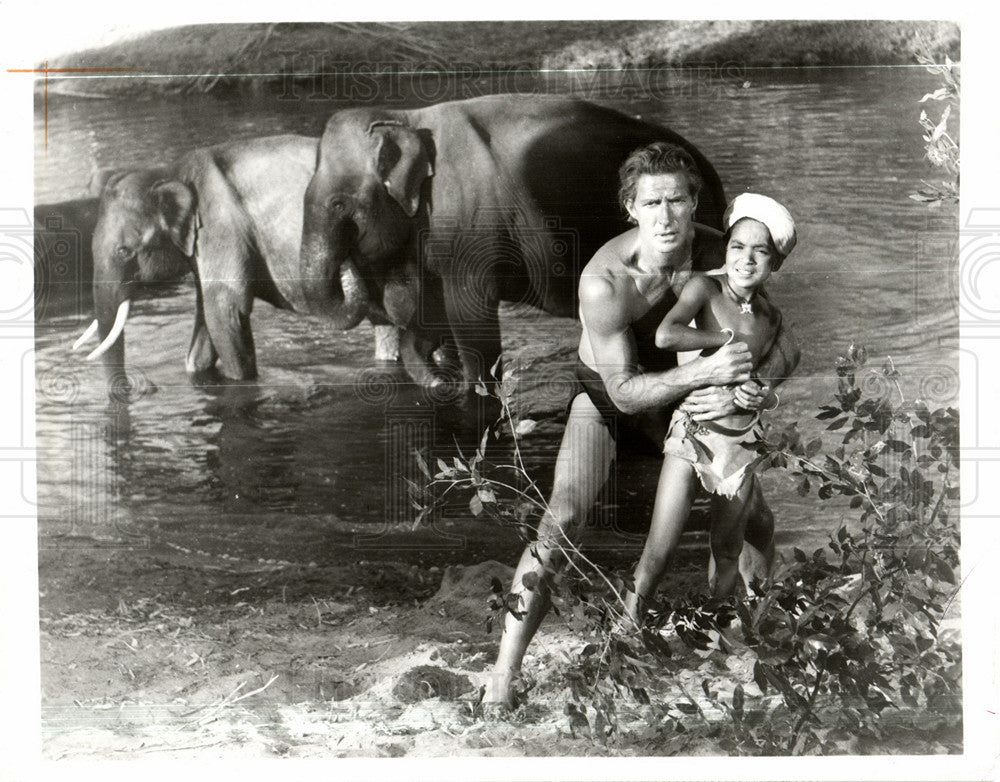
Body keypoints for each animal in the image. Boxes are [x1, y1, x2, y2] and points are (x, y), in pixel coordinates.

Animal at [72, 136, 400, 388]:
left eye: (124, 251)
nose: (145, 386)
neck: (173, 171)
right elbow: (205, 318)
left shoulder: (220, 225)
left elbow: (224, 309)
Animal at [296, 95, 728, 392]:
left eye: (338, 203)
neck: (406, 118)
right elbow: (429, 311)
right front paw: (444, 379)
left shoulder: (470, 232)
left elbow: (470, 319)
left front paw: (474, 394)